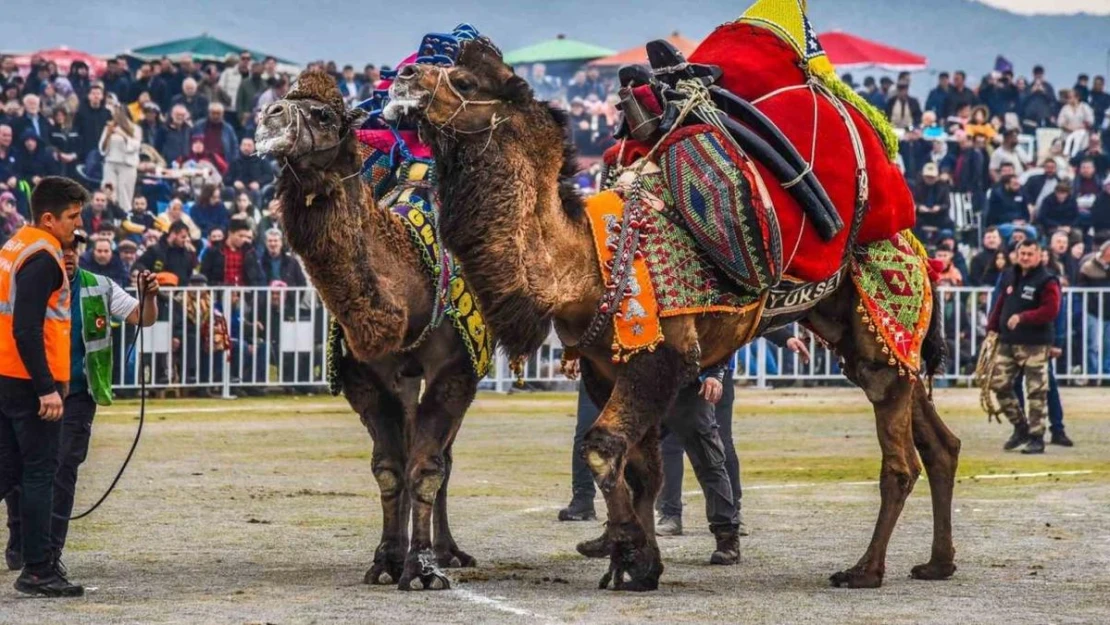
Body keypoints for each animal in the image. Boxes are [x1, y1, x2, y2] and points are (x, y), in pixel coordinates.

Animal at [255, 72, 481, 590]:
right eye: (284, 100)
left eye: (323, 114)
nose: (267, 117)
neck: (410, 286)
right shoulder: (364, 376)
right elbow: (389, 469)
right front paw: (386, 560)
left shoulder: (456, 369)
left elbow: (426, 467)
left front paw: (422, 569)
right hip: (406, 378)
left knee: (444, 457)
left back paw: (449, 551)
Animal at [392, 39, 963, 590]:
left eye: (464, 81)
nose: (403, 76)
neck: (584, 261)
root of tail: (915, 244)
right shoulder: (605, 365)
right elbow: (641, 468)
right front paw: (639, 565)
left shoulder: (661, 355)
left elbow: (603, 447)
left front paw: (626, 551)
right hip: (862, 333)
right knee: (939, 442)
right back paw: (938, 563)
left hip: (883, 312)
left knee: (900, 461)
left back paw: (864, 571)